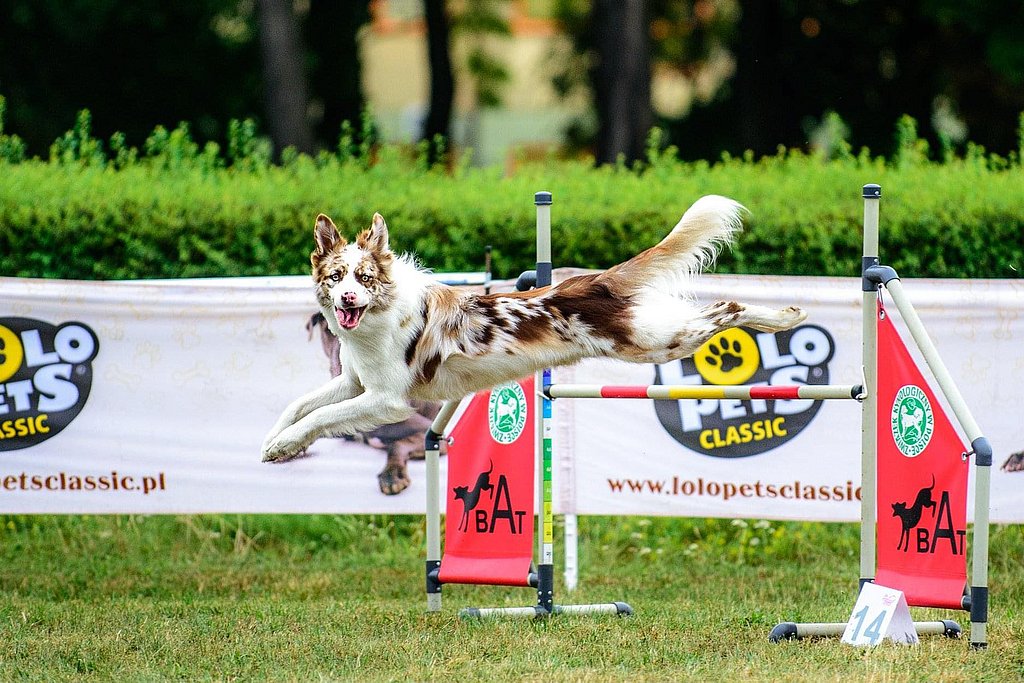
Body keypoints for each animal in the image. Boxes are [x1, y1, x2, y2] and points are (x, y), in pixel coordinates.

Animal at [262, 195, 807, 463]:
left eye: (365, 278)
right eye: (336, 277)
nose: (348, 300)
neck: (379, 316)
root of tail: (598, 279)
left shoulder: (387, 398)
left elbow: (320, 417)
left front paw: (284, 447)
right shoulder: (356, 382)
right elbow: (298, 405)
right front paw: (272, 440)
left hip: (654, 342)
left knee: (726, 307)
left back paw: (785, 317)